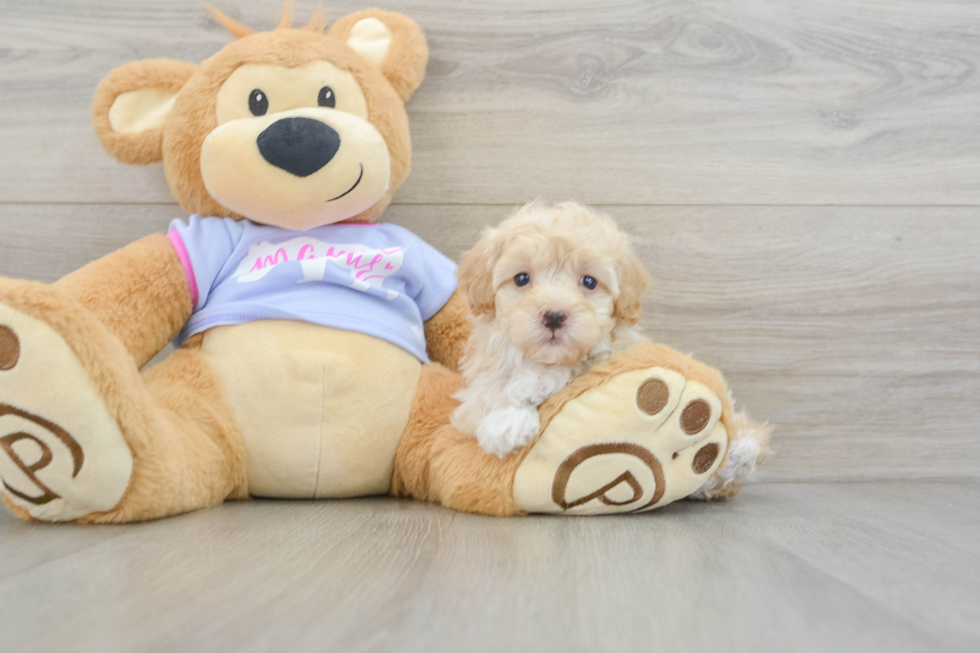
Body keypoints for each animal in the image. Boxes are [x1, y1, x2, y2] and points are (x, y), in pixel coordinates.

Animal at [452, 201, 652, 456]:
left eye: (589, 282)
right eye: (521, 279)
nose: (555, 316)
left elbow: (582, 362)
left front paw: (530, 386)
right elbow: (486, 393)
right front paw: (507, 422)